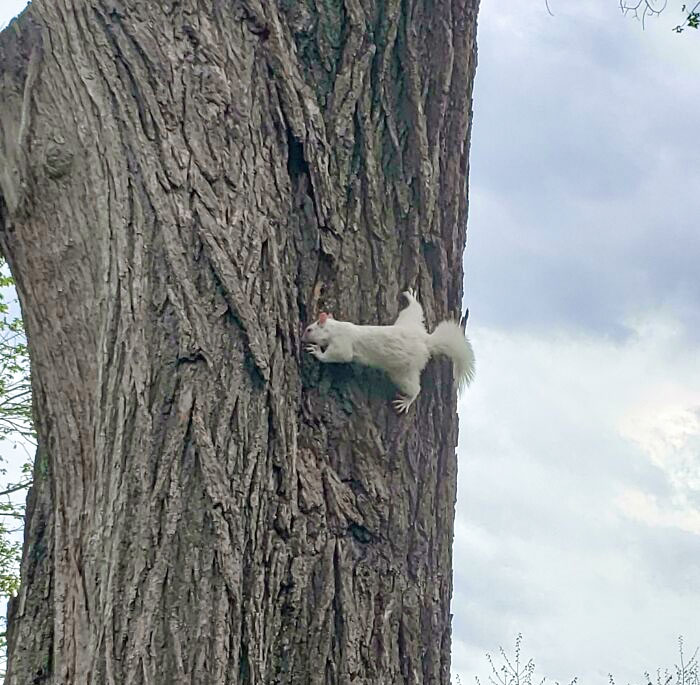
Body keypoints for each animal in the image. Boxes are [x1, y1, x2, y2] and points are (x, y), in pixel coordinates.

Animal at [300, 288, 476, 412]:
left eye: (309, 329)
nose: (301, 338)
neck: (335, 328)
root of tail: (426, 341)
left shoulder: (342, 343)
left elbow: (340, 355)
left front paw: (316, 351)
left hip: (402, 373)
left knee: (415, 389)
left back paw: (406, 401)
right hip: (408, 321)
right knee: (414, 311)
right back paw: (412, 299)